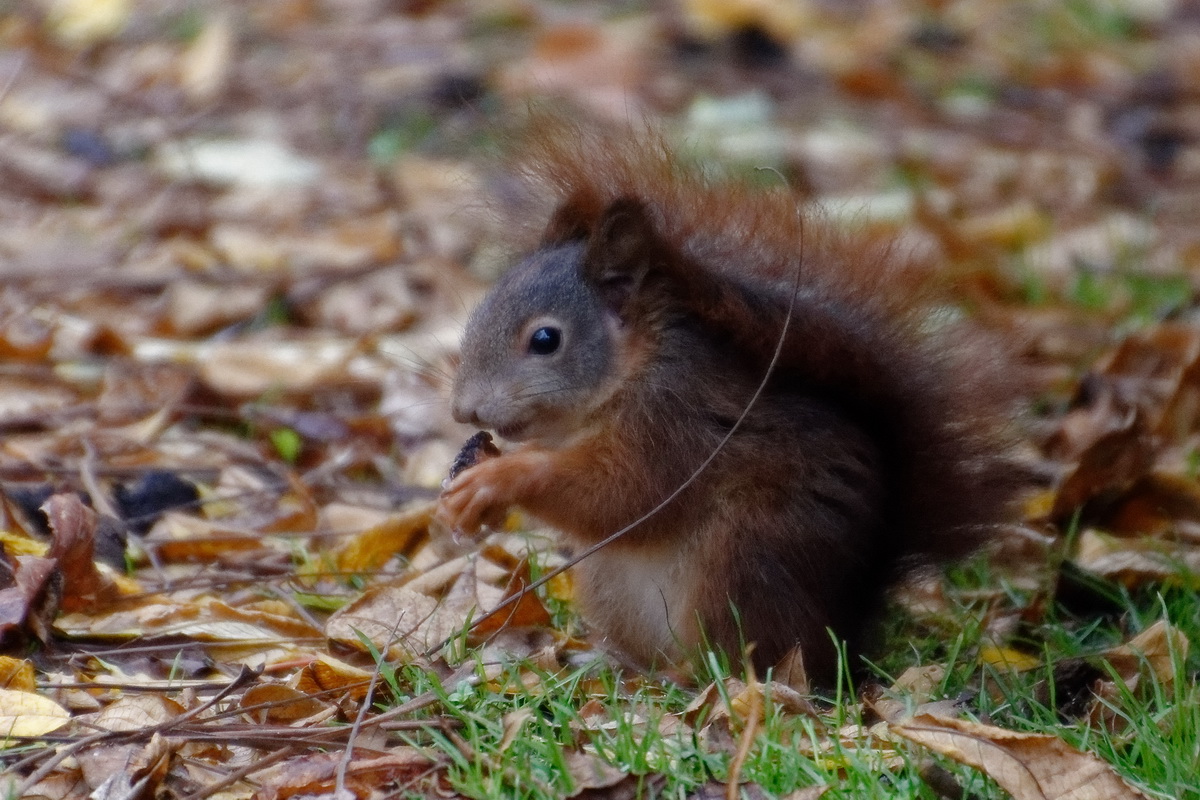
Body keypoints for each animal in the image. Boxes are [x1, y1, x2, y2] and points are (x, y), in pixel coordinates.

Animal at [436, 117, 1017, 681]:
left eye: (545, 340)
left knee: (745, 659)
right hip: (608, 580)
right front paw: (474, 481)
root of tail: (846, 633)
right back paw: (614, 665)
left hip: (746, 557)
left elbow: (619, 493)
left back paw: (694, 681)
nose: (465, 411)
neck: (625, 378)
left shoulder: (674, 421)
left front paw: (501, 477)